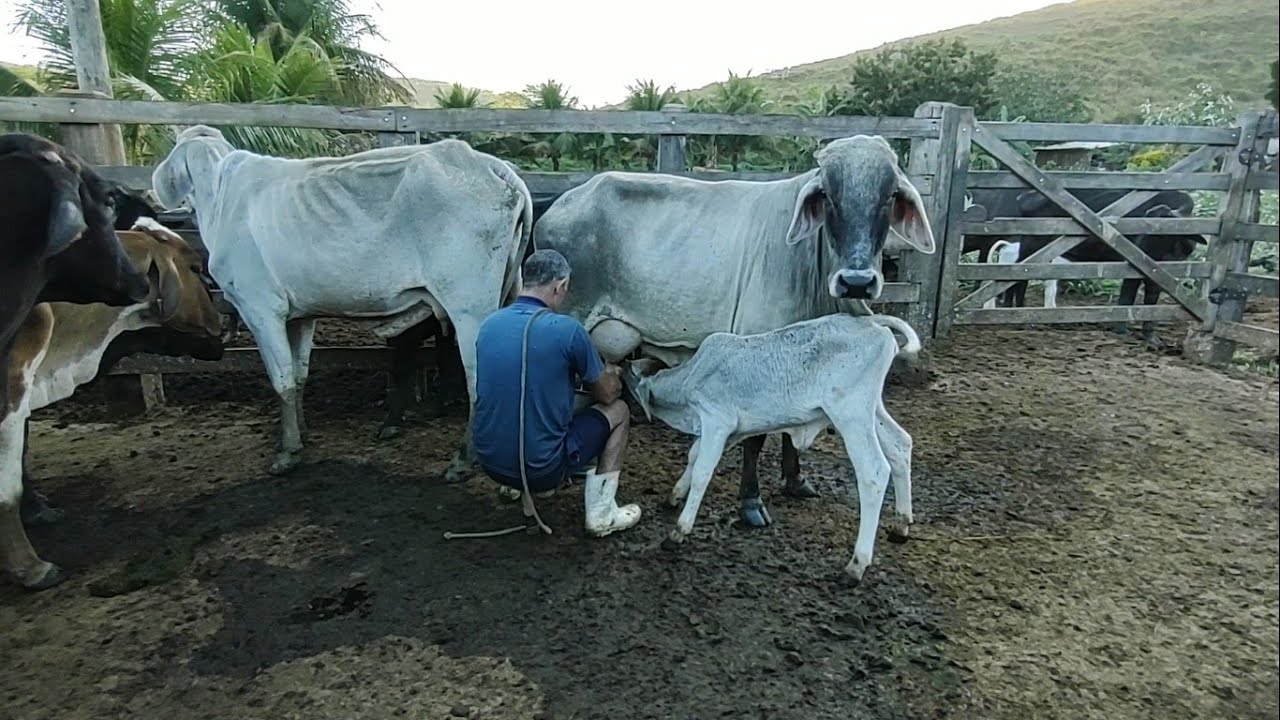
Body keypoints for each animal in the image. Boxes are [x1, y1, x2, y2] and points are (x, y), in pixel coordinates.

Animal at [150, 125, 532, 479]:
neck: (219, 196)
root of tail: (494, 166)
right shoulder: (300, 316)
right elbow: (299, 376)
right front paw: (301, 435)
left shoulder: (261, 309)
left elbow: (281, 380)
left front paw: (286, 453)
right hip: (505, 294)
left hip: (469, 305)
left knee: (480, 381)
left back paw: (463, 460)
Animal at [531, 134, 935, 526]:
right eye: (827, 195)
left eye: (890, 196)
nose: (856, 282)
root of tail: (559, 202)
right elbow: (756, 438)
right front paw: (751, 503)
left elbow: (790, 428)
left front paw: (795, 481)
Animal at [621, 312, 919, 585]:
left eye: (633, 374)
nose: (623, 363)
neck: (691, 378)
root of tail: (870, 322)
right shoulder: (730, 431)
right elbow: (694, 455)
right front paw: (674, 495)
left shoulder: (717, 420)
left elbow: (702, 472)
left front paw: (680, 530)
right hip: (872, 410)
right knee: (900, 444)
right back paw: (901, 524)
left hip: (850, 414)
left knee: (874, 472)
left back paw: (857, 565)